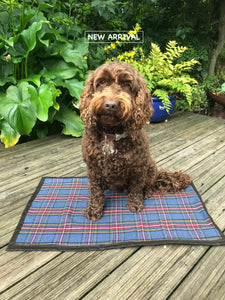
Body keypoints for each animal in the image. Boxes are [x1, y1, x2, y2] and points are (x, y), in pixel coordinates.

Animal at [79, 61, 192, 220]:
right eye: (101, 82)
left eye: (127, 84)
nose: (110, 104)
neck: (112, 134)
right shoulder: (93, 168)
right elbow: (96, 191)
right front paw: (94, 209)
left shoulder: (139, 167)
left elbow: (137, 187)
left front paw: (135, 204)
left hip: (150, 166)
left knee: (148, 184)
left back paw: (147, 192)